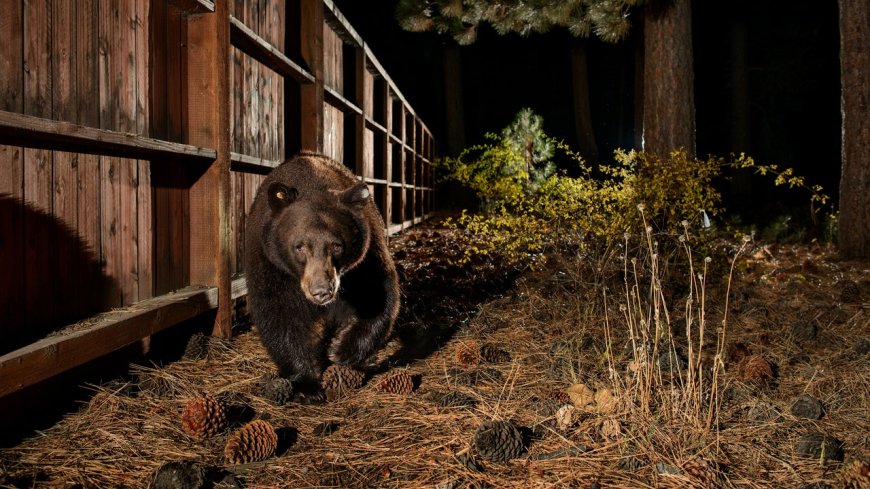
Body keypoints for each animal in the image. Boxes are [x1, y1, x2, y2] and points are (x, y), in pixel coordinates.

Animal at [245, 152, 402, 400]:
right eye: (299, 247)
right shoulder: (269, 262)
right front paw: (307, 385)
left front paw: (340, 350)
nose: (321, 291)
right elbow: (279, 313)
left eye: (337, 246)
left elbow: (378, 295)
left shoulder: (365, 259)